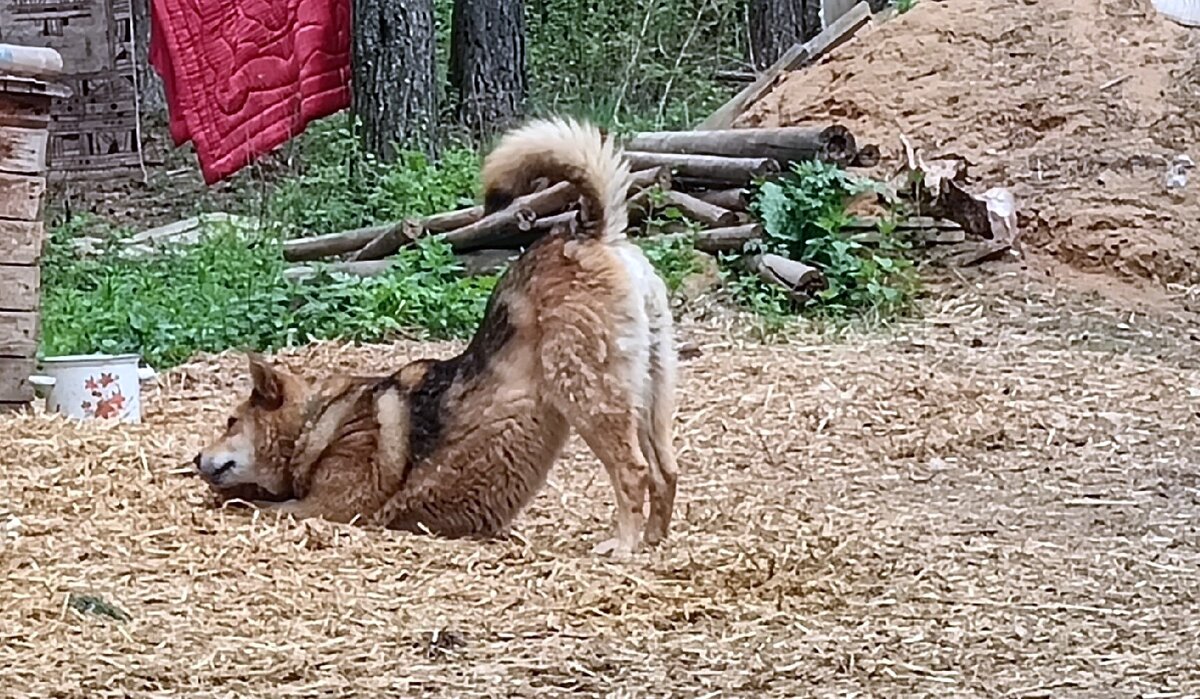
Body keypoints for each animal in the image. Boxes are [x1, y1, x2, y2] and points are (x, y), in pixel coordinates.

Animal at [201, 120, 681, 559]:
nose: (194, 459)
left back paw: (623, 545)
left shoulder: (327, 508)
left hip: (587, 395)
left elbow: (254, 504)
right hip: (648, 394)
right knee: (666, 472)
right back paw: (654, 540)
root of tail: (590, 234)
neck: (317, 422)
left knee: (634, 471)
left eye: (230, 421)